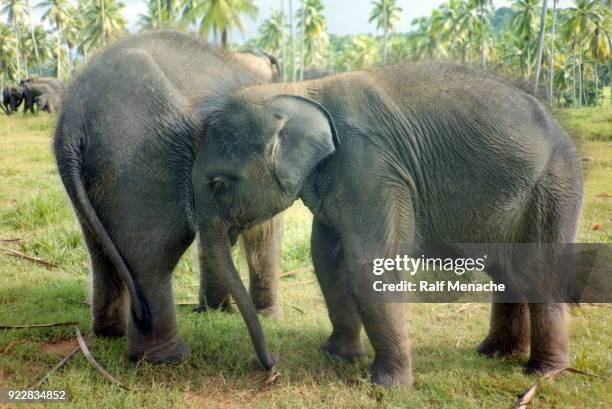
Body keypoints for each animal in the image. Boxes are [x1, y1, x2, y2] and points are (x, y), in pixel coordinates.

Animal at [53, 31, 284, 364]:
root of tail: (73, 119)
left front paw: (213, 312)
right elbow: (262, 230)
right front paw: (268, 318)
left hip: (91, 177)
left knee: (101, 249)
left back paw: (111, 333)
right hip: (144, 159)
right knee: (158, 251)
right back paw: (169, 357)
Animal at [191, 63, 584, 386]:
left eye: (219, 183)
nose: (271, 365)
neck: (300, 90)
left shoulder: (371, 168)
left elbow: (369, 263)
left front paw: (385, 385)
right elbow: (326, 259)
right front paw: (338, 356)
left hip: (553, 187)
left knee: (538, 269)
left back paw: (543, 371)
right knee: (509, 272)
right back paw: (494, 353)